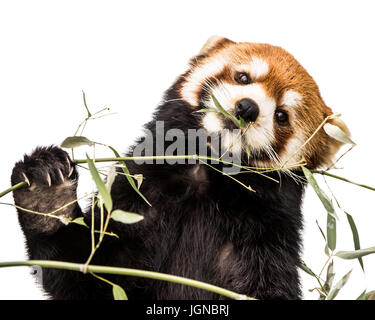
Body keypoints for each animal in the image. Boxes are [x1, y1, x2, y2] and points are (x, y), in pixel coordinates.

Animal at [11, 36, 346, 298]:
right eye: (243, 78)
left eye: (281, 116)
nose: (247, 108)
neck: (209, 172)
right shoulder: (141, 193)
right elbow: (84, 272)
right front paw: (46, 196)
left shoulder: (266, 238)